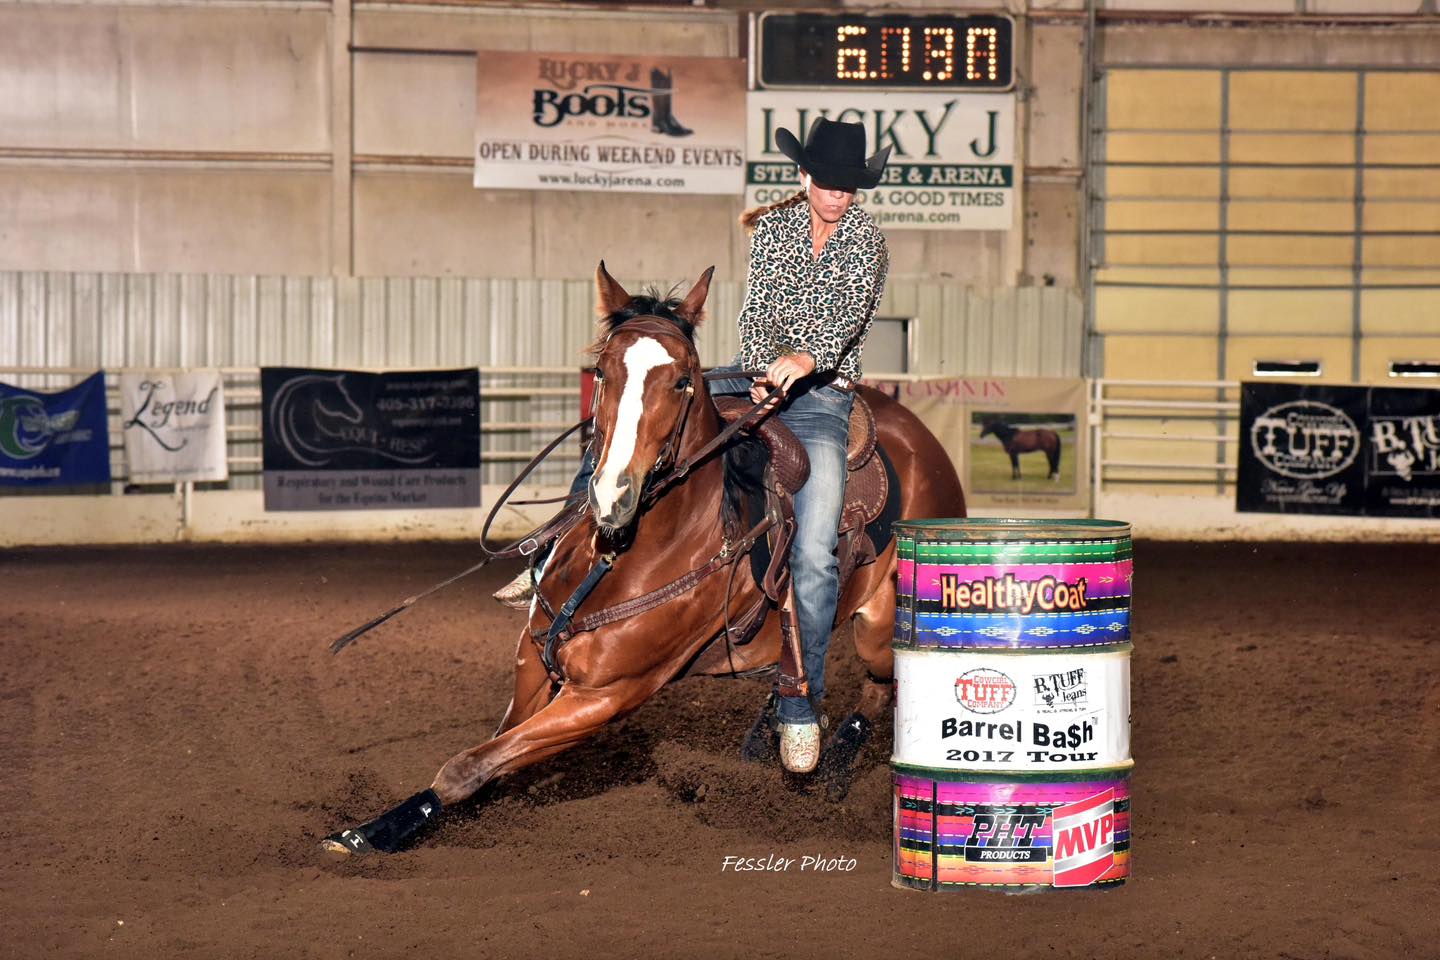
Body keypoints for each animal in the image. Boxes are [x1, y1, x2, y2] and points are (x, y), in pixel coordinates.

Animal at [322, 263, 966, 856]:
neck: (624, 553)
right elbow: (486, 754)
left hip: (879, 625)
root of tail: (920, 439)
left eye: (682, 381)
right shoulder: (534, 659)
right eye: (603, 373)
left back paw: (824, 770)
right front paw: (368, 830)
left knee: (880, 687)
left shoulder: (607, 695)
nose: (613, 495)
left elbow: (467, 766)